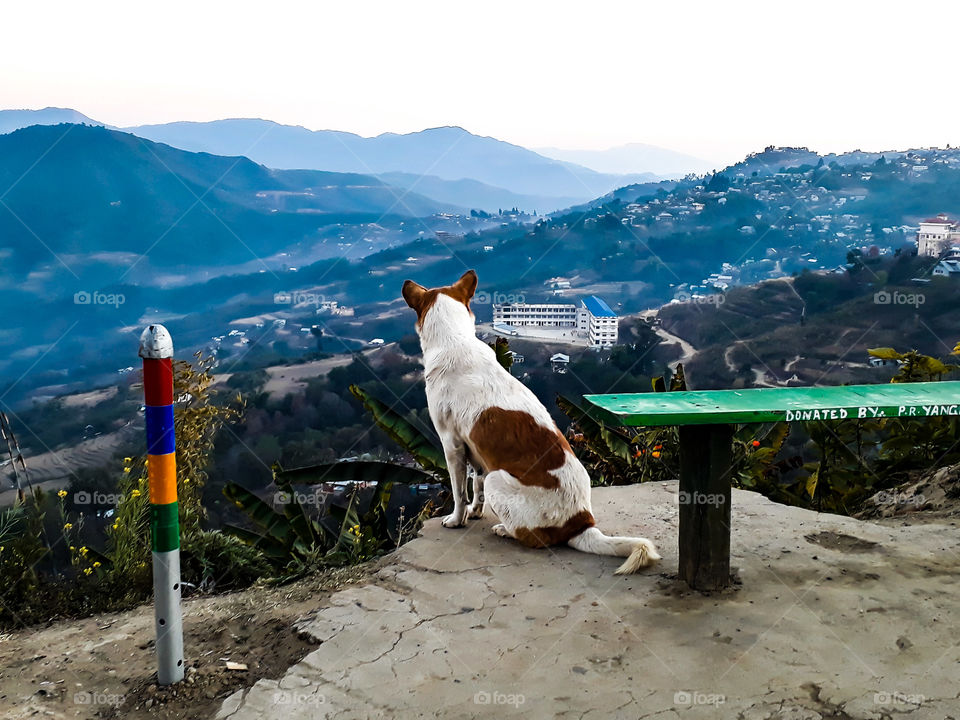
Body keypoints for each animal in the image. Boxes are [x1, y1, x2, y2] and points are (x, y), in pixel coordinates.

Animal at [400, 270, 660, 572]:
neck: (455, 339)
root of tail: (580, 524)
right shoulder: (476, 449)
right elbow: (476, 486)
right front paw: (475, 512)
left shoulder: (451, 444)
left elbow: (459, 491)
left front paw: (456, 519)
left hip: (498, 480)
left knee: (533, 537)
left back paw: (504, 529)